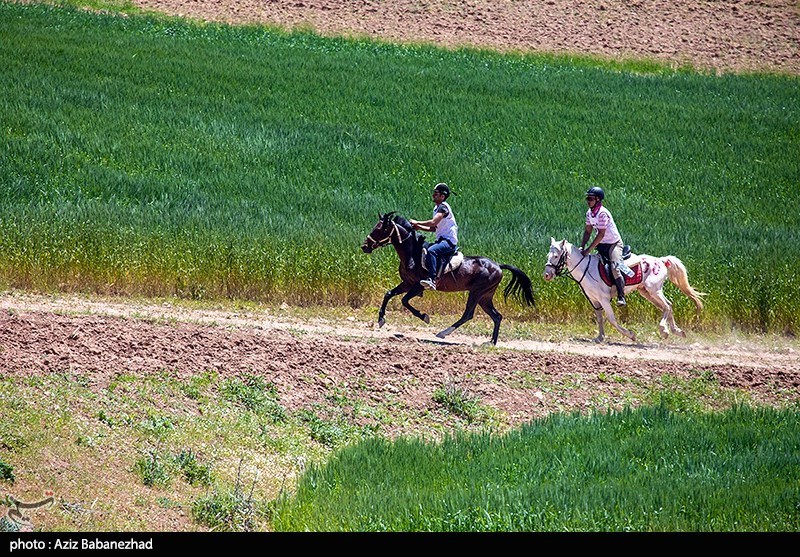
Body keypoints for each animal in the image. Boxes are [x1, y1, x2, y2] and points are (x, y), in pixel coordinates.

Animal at [360, 213, 536, 344]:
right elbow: (388, 294)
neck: (412, 254)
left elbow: (404, 301)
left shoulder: (418, 286)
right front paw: (381, 319)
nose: (364, 246)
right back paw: (491, 342)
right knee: (496, 316)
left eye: (380, 229)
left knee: (468, 314)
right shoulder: (407, 283)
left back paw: (443, 333)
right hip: (485, 296)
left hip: (477, 293)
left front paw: (424, 317)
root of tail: (498, 265)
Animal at [544, 237, 708, 340]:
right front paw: (600, 337)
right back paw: (677, 331)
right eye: (547, 255)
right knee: (668, 306)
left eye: (556, 256)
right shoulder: (594, 300)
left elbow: (611, 319)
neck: (585, 268)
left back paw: (665, 331)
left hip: (653, 290)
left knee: (667, 306)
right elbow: (599, 318)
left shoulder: (604, 299)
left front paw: (631, 335)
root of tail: (661, 261)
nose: (546, 275)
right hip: (646, 292)